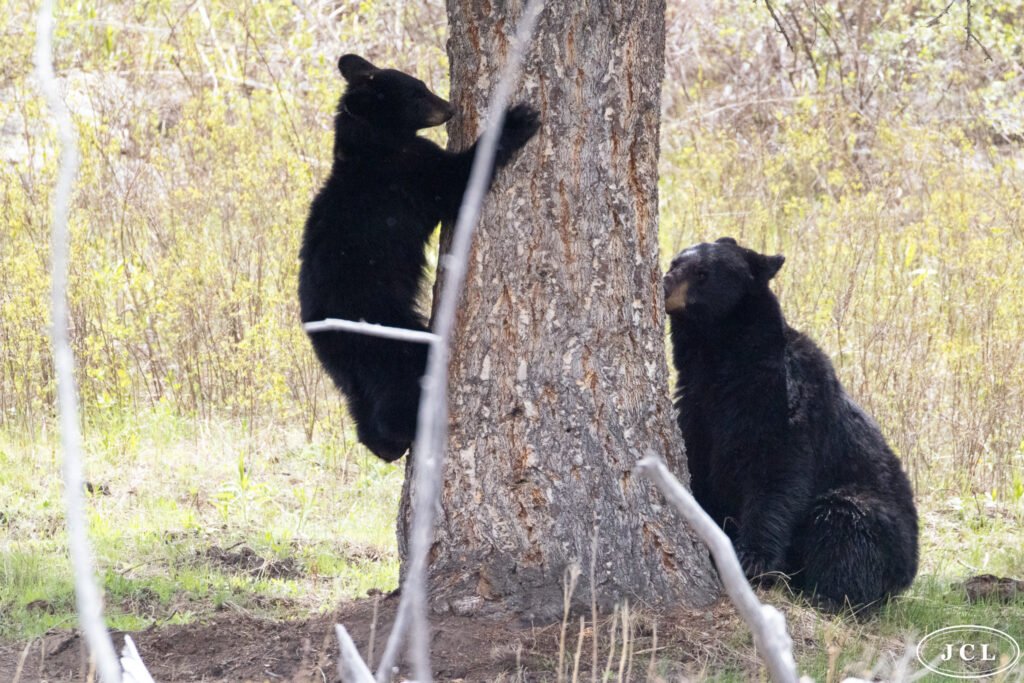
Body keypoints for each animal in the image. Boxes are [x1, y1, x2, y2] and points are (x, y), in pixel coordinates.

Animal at [299, 54, 539, 462]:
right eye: (416, 94)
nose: (450, 107)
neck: (371, 150)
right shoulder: (414, 174)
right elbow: (458, 179)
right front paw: (519, 119)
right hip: (387, 333)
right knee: (405, 379)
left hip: (347, 367)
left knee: (360, 402)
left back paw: (384, 445)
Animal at [663, 237, 918, 610]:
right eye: (675, 262)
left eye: (702, 273)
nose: (665, 283)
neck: (723, 361)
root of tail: (909, 571)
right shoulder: (697, 407)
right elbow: (697, 463)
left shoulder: (784, 402)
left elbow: (776, 473)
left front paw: (751, 560)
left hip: (877, 522)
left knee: (844, 524)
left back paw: (831, 596)